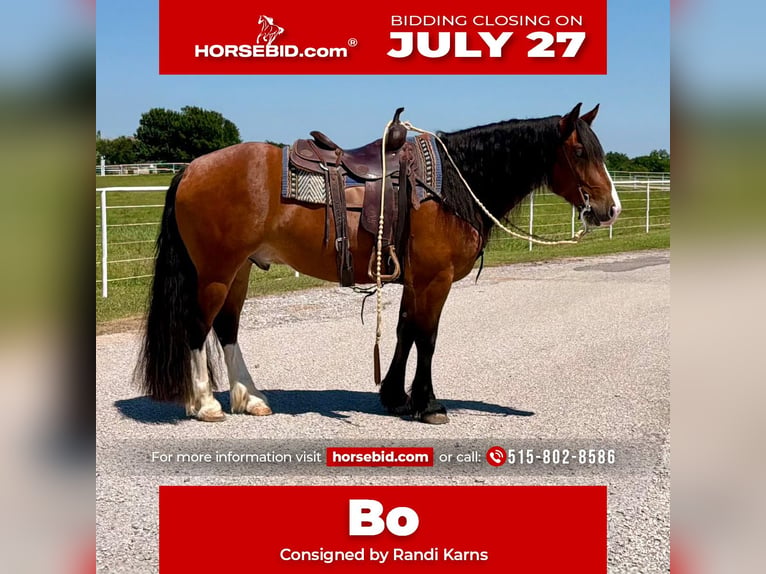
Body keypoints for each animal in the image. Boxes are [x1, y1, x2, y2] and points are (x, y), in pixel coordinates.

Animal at [137, 103, 622, 424]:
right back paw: (205, 403)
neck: (453, 182)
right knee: (197, 328)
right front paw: (427, 404)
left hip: (239, 271)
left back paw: (250, 398)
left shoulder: (415, 280)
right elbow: (427, 338)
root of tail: (191, 167)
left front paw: (394, 396)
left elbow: (405, 332)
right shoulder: (436, 279)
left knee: (227, 329)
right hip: (216, 271)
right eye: (580, 153)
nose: (610, 209)